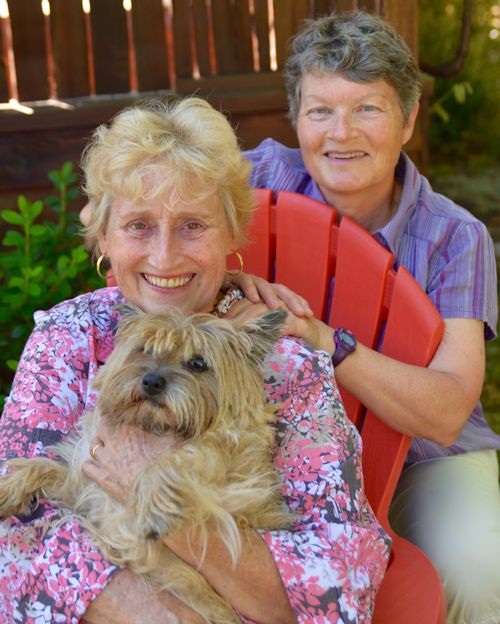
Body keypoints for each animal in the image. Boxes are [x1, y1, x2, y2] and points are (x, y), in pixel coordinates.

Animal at [0, 304, 290, 620]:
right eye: (146, 349)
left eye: (198, 363)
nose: (152, 381)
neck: (154, 427)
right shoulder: (88, 490)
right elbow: (46, 467)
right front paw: (8, 488)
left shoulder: (231, 487)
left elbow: (180, 460)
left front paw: (153, 507)